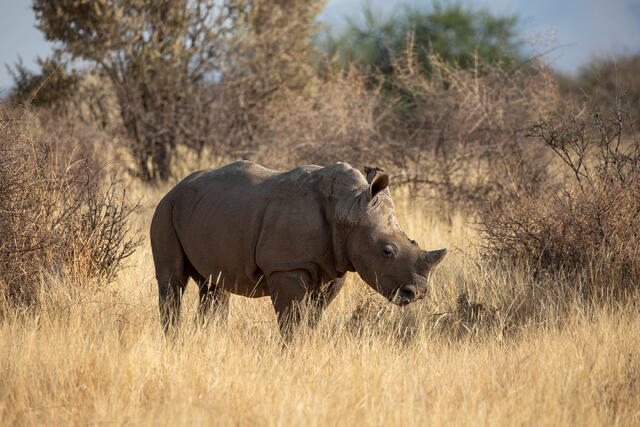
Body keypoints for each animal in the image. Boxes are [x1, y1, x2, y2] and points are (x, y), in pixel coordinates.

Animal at [150, 161, 446, 337]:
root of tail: (175, 187)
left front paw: (307, 344)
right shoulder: (286, 266)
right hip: (166, 209)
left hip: (206, 210)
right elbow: (292, 317)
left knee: (214, 285)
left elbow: (313, 316)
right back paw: (173, 338)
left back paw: (211, 337)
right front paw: (291, 352)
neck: (349, 209)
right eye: (387, 251)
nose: (418, 293)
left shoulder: (335, 267)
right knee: (172, 280)